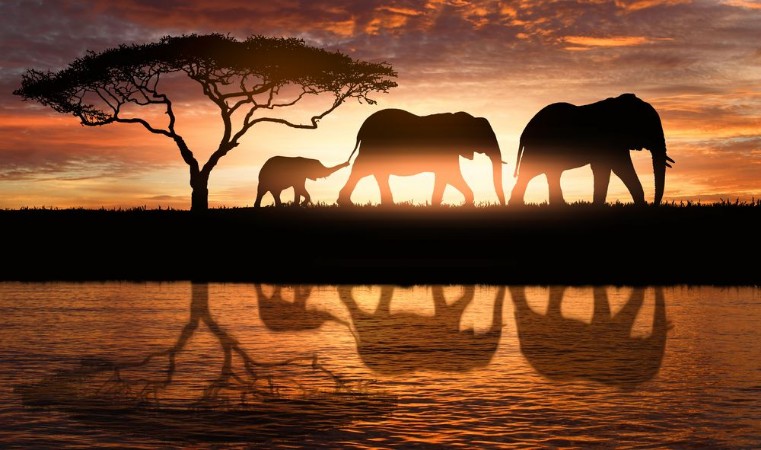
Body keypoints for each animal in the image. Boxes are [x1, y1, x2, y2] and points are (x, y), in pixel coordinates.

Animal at [336, 108, 506, 206]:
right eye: (483, 137)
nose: (503, 206)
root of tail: (362, 128)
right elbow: (449, 174)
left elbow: (450, 175)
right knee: (364, 168)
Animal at [509, 93, 675, 206]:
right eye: (647, 127)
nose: (654, 205)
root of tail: (525, 131)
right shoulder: (608, 140)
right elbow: (617, 167)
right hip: (538, 148)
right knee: (529, 173)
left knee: (548, 174)